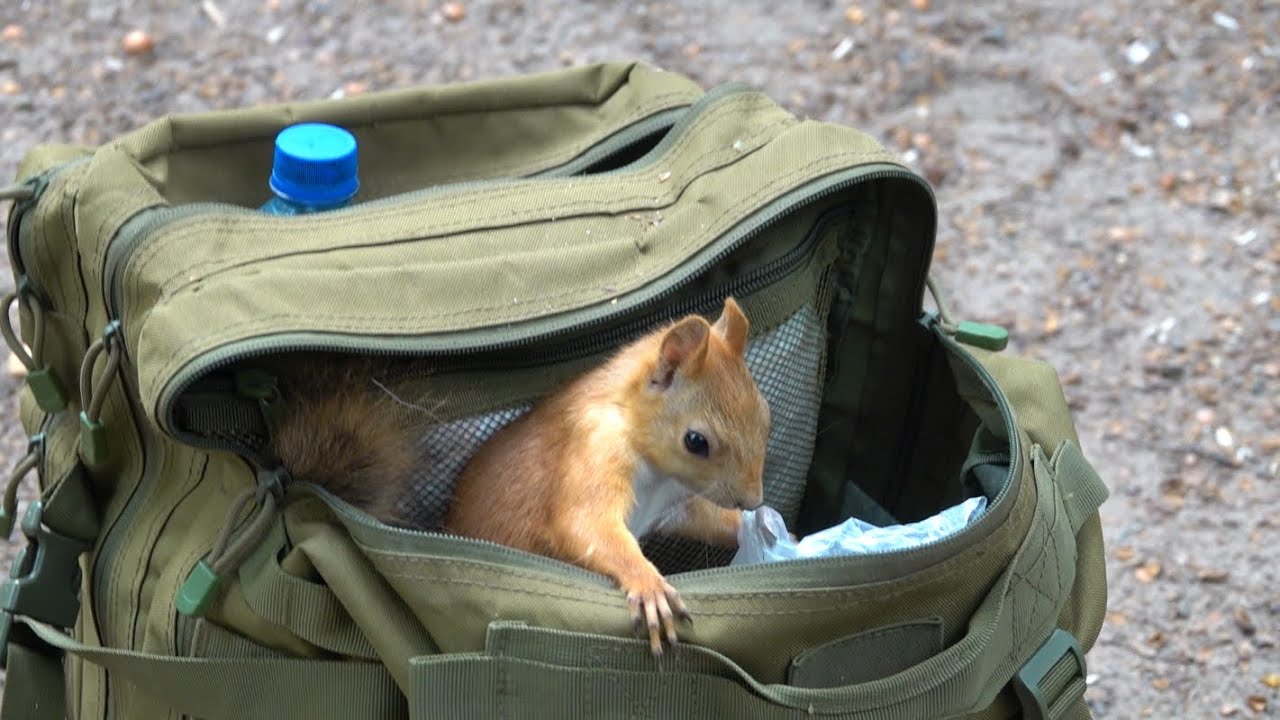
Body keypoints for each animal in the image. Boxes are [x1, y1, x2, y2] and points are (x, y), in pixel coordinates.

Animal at [444, 297, 770, 655]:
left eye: (766, 414)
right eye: (696, 441)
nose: (753, 501)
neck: (657, 476)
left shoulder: (672, 504)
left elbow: (704, 518)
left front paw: (760, 529)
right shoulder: (594, 450)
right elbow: (585, 523)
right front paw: (649, 584)